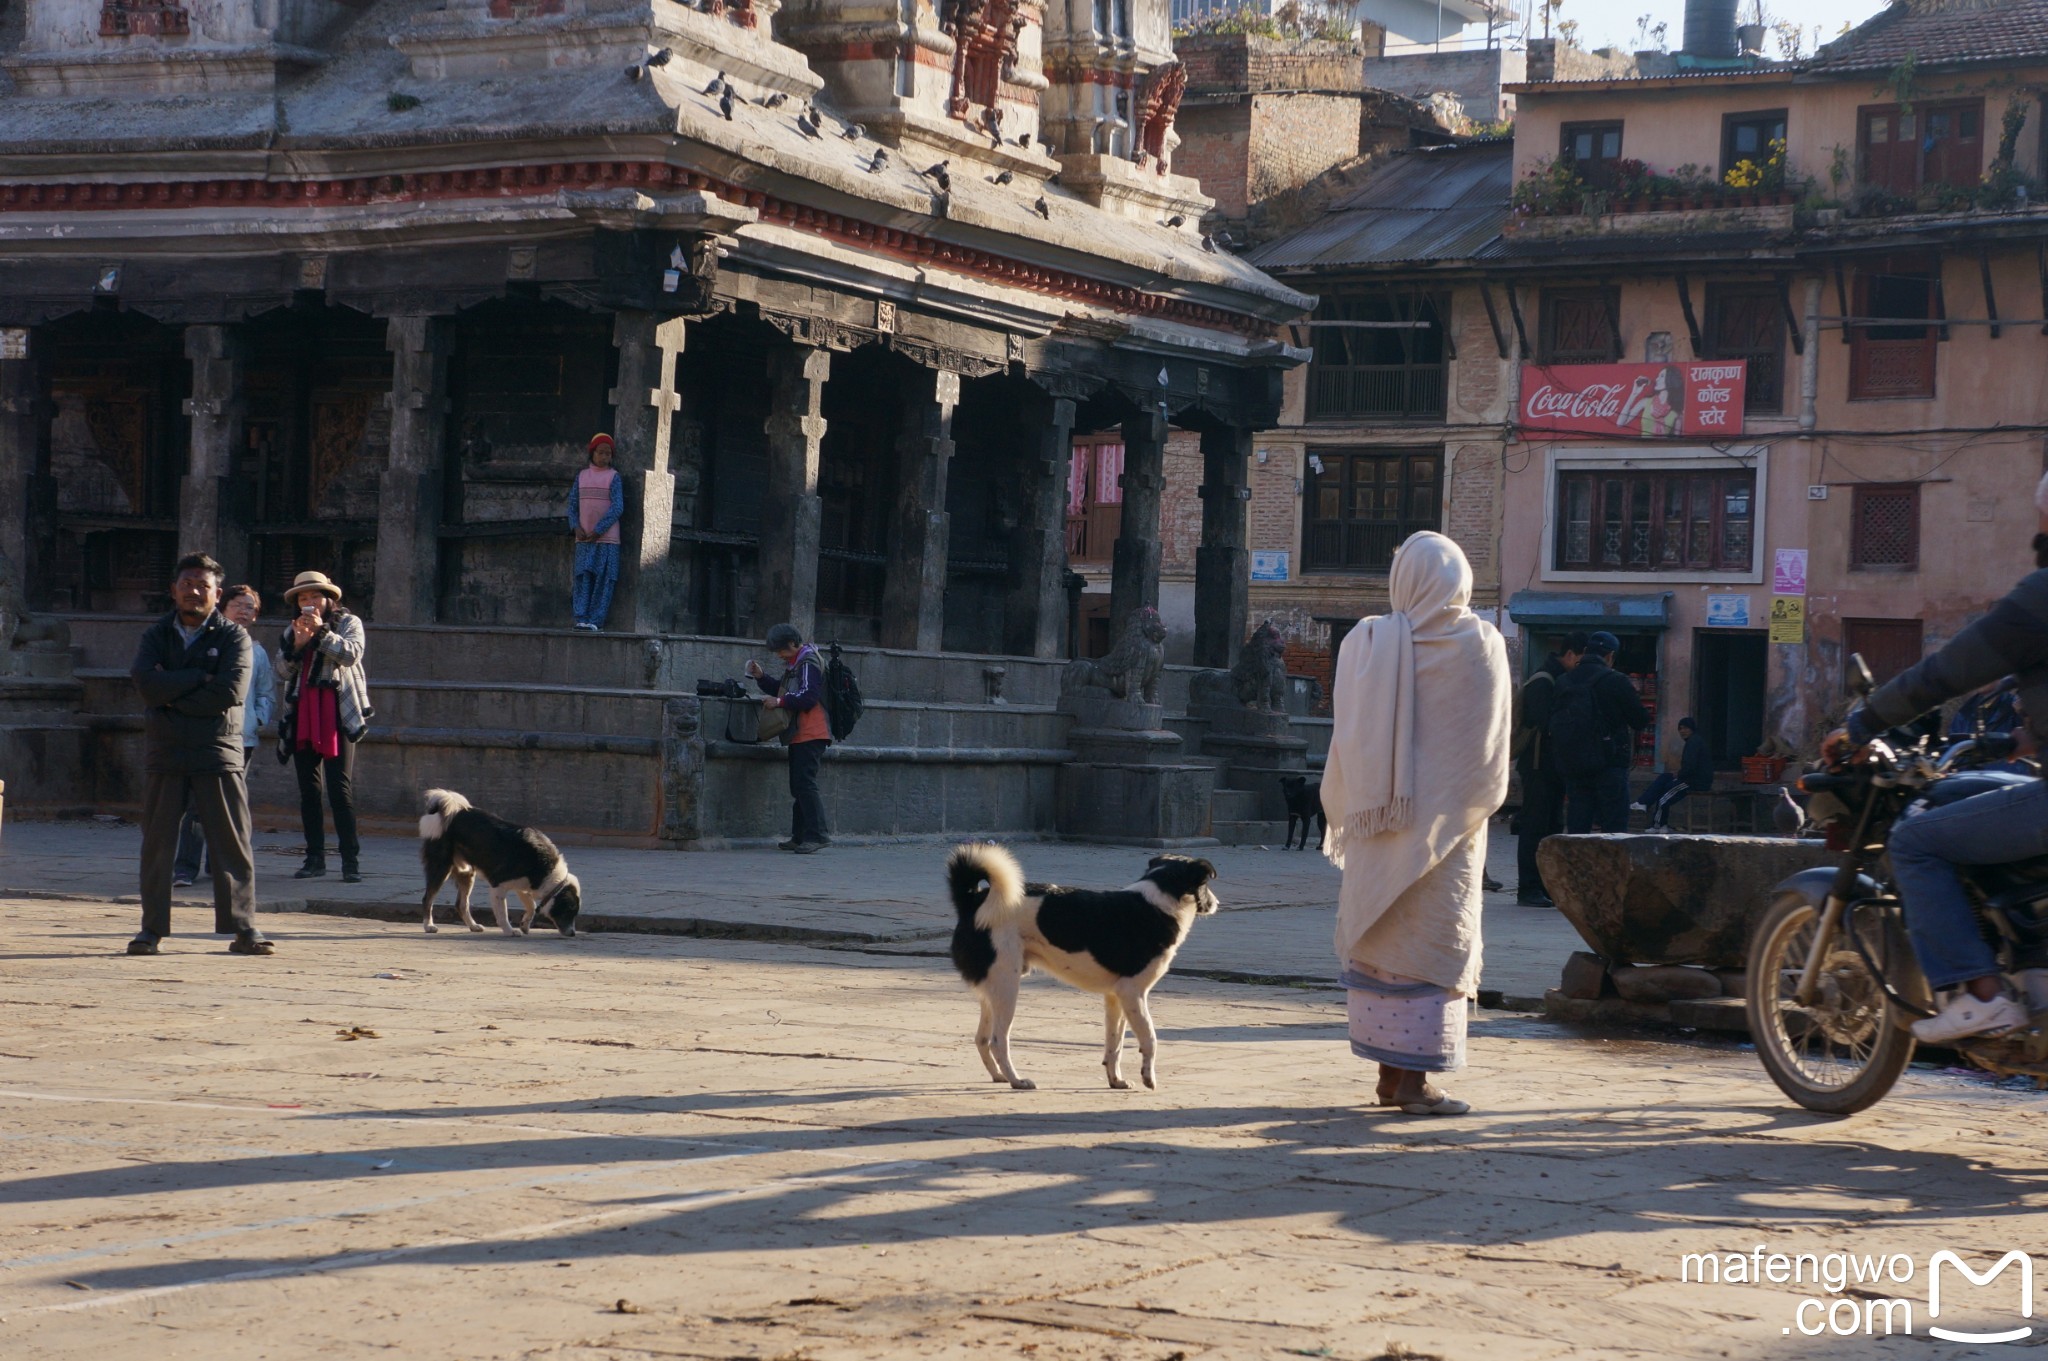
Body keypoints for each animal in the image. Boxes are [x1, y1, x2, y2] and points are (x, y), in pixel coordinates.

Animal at [413, 785, 581, 933]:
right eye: (569, 911)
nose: (573, 933)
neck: (546, 868)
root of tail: (454, 812)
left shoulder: (522, 886)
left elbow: (532, 907)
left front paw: (525, 925)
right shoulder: (498, 886)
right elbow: (503, 914)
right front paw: (509, 931)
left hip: (467, 873)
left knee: (461, 904)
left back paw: (473, 926)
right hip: (441, 868)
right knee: (427, 899)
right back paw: (428, 926)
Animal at [942, 843, 1212, 1088]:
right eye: (1207, 884)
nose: (1216, 903)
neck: (1158, 900)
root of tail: (972, 902)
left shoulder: (1116, 998)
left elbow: (1114, 1044)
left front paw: (1116, 1080)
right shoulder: (1133, 993)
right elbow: (1150, 1038)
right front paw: (1148, 1077)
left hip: (993, 991)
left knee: (982, 1039)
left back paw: (999, 1076)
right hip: (1007, 986)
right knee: (998, 1041)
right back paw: (1016, 1080)